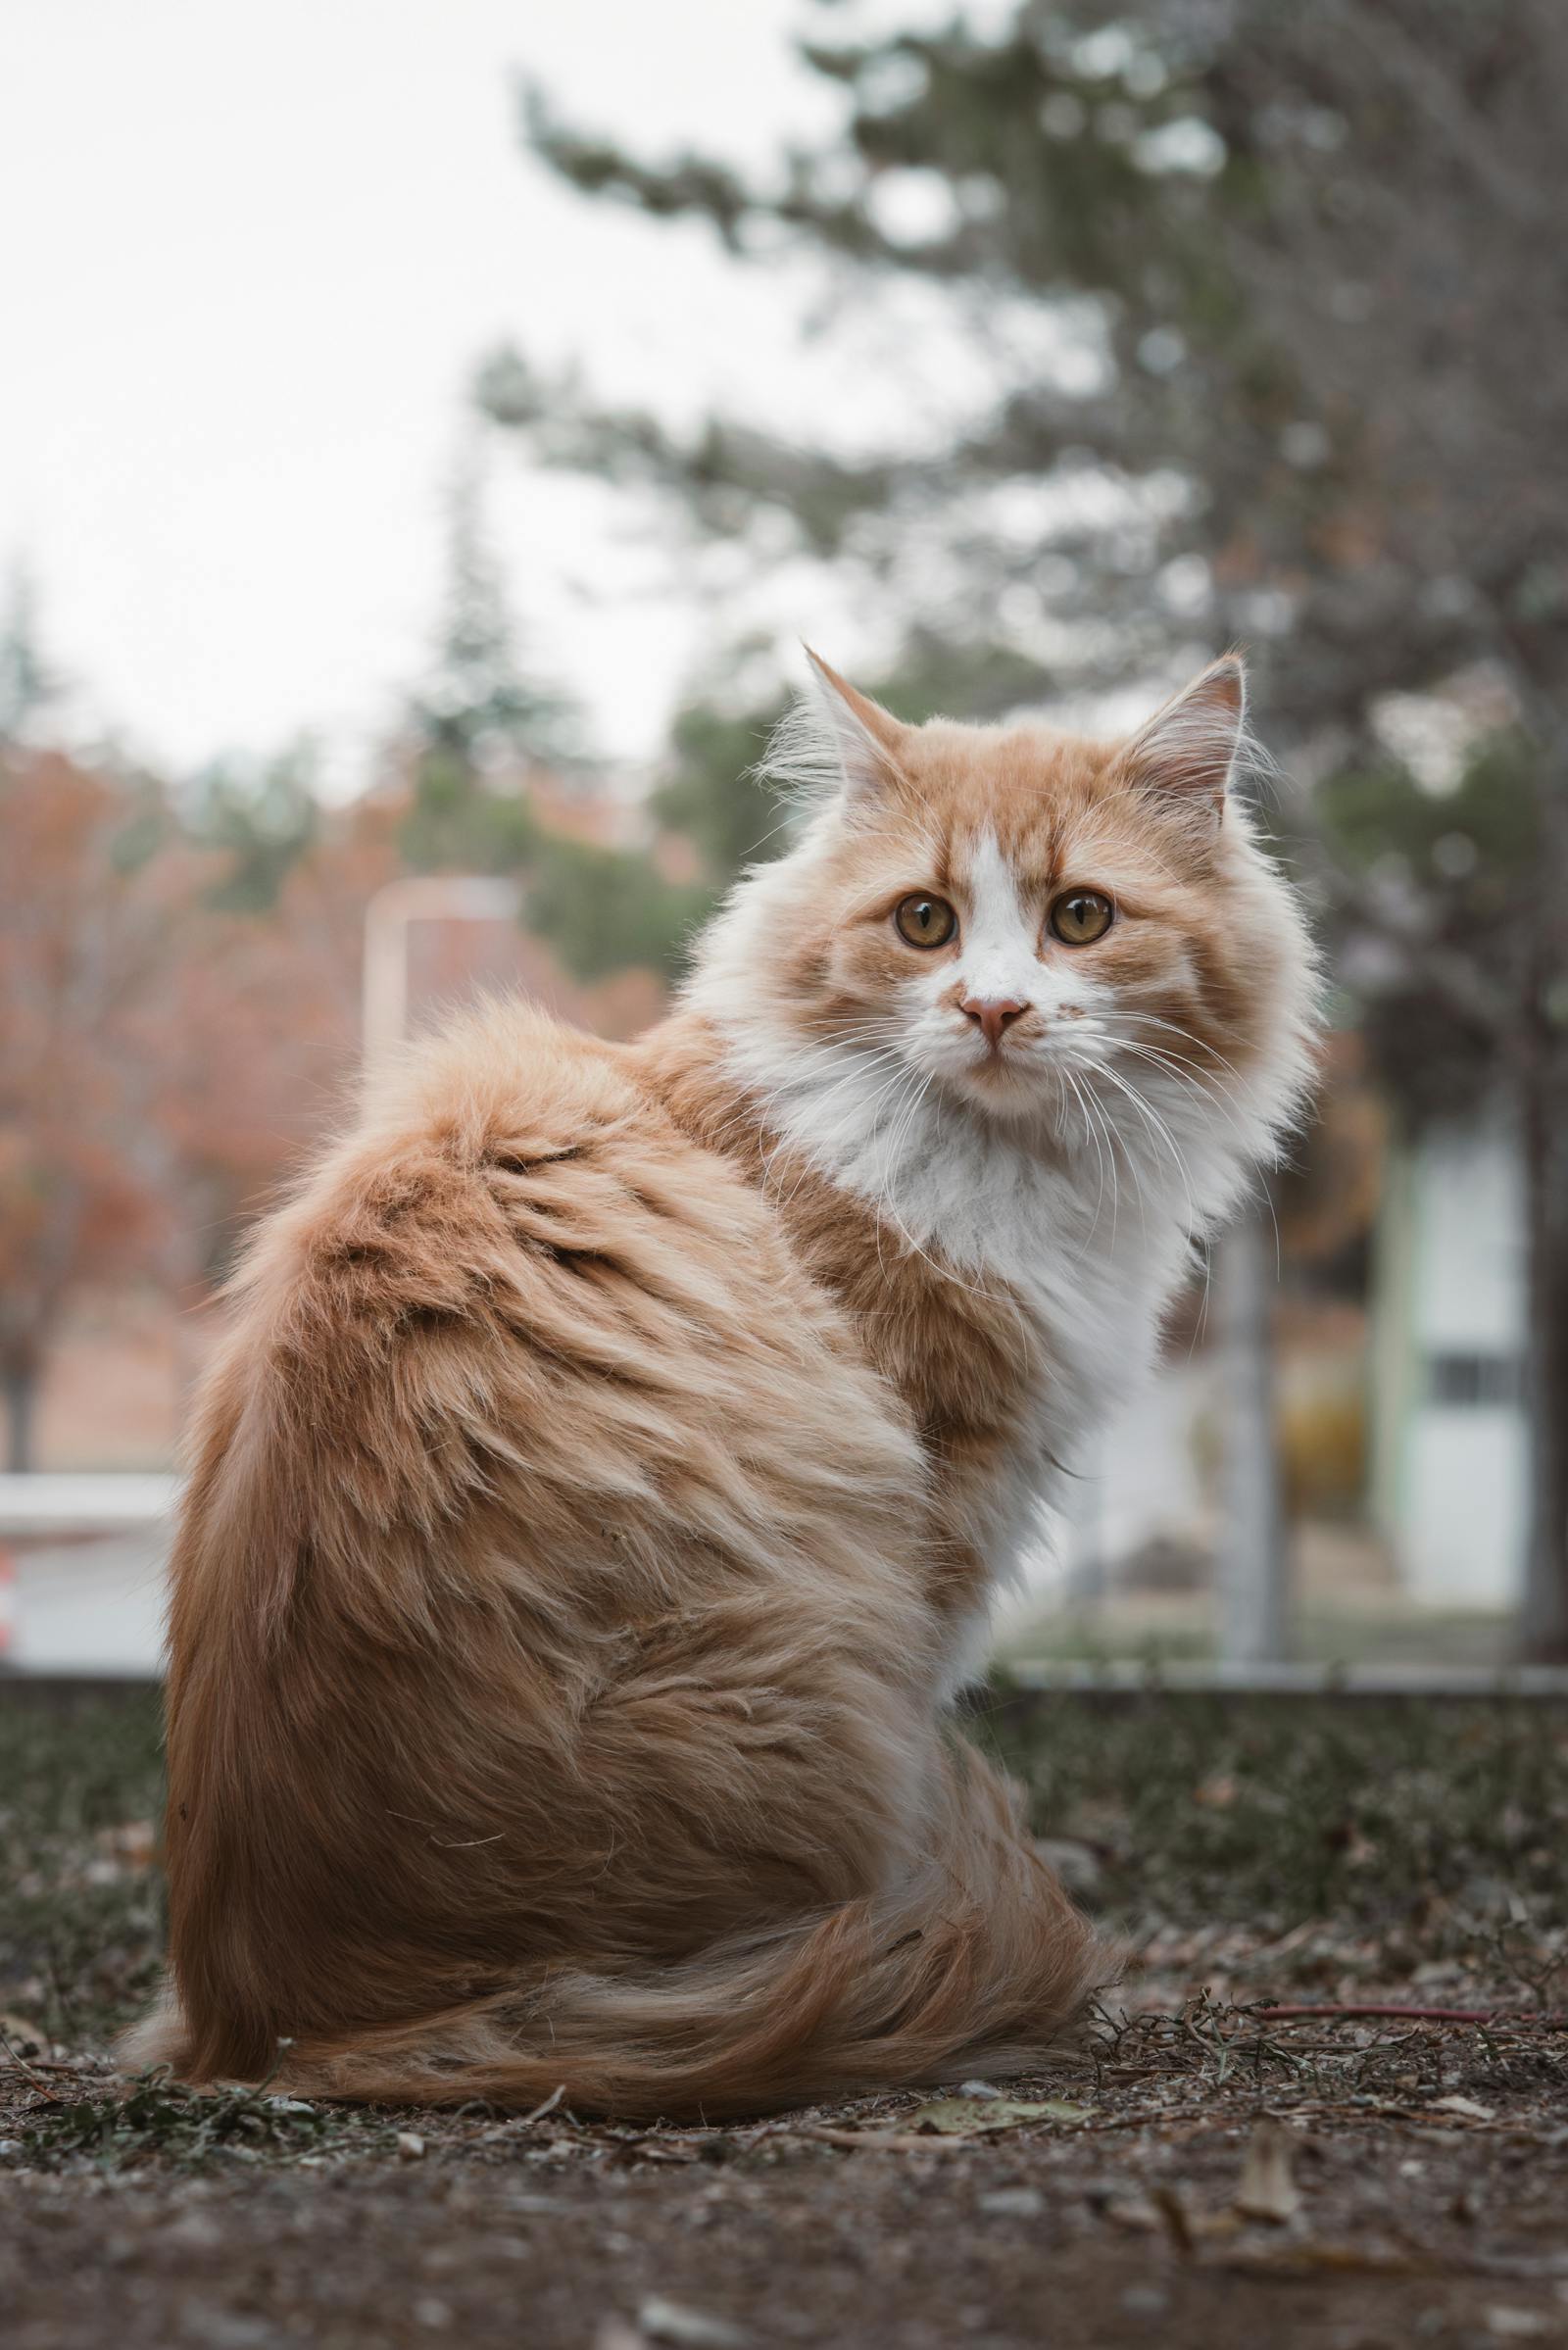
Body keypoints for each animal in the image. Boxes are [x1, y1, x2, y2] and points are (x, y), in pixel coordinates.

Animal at [128, 653, 1316, 2124]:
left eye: (1081, 918)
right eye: (924, 923)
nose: (991, 1009)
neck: (992, 1169)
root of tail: (284, 2020)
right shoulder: (942, 1516)